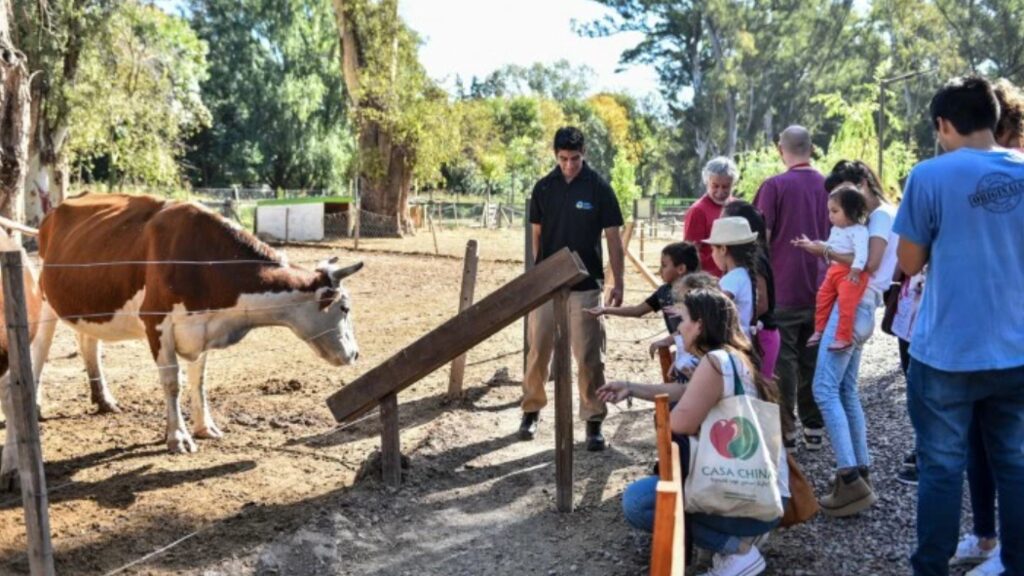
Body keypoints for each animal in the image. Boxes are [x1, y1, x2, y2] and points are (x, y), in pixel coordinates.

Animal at [30, 192, 364, 453]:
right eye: (345, 308)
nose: (355, 354)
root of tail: (55, 210)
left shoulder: (203, 326)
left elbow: (198, 380)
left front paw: (205, 427)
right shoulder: (157, 323)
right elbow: (172, 382)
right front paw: (178, 436)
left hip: (89, 303)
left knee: (88, 342)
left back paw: (104, 400)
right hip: (46, 300)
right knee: (40, 350)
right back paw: (35, 404)